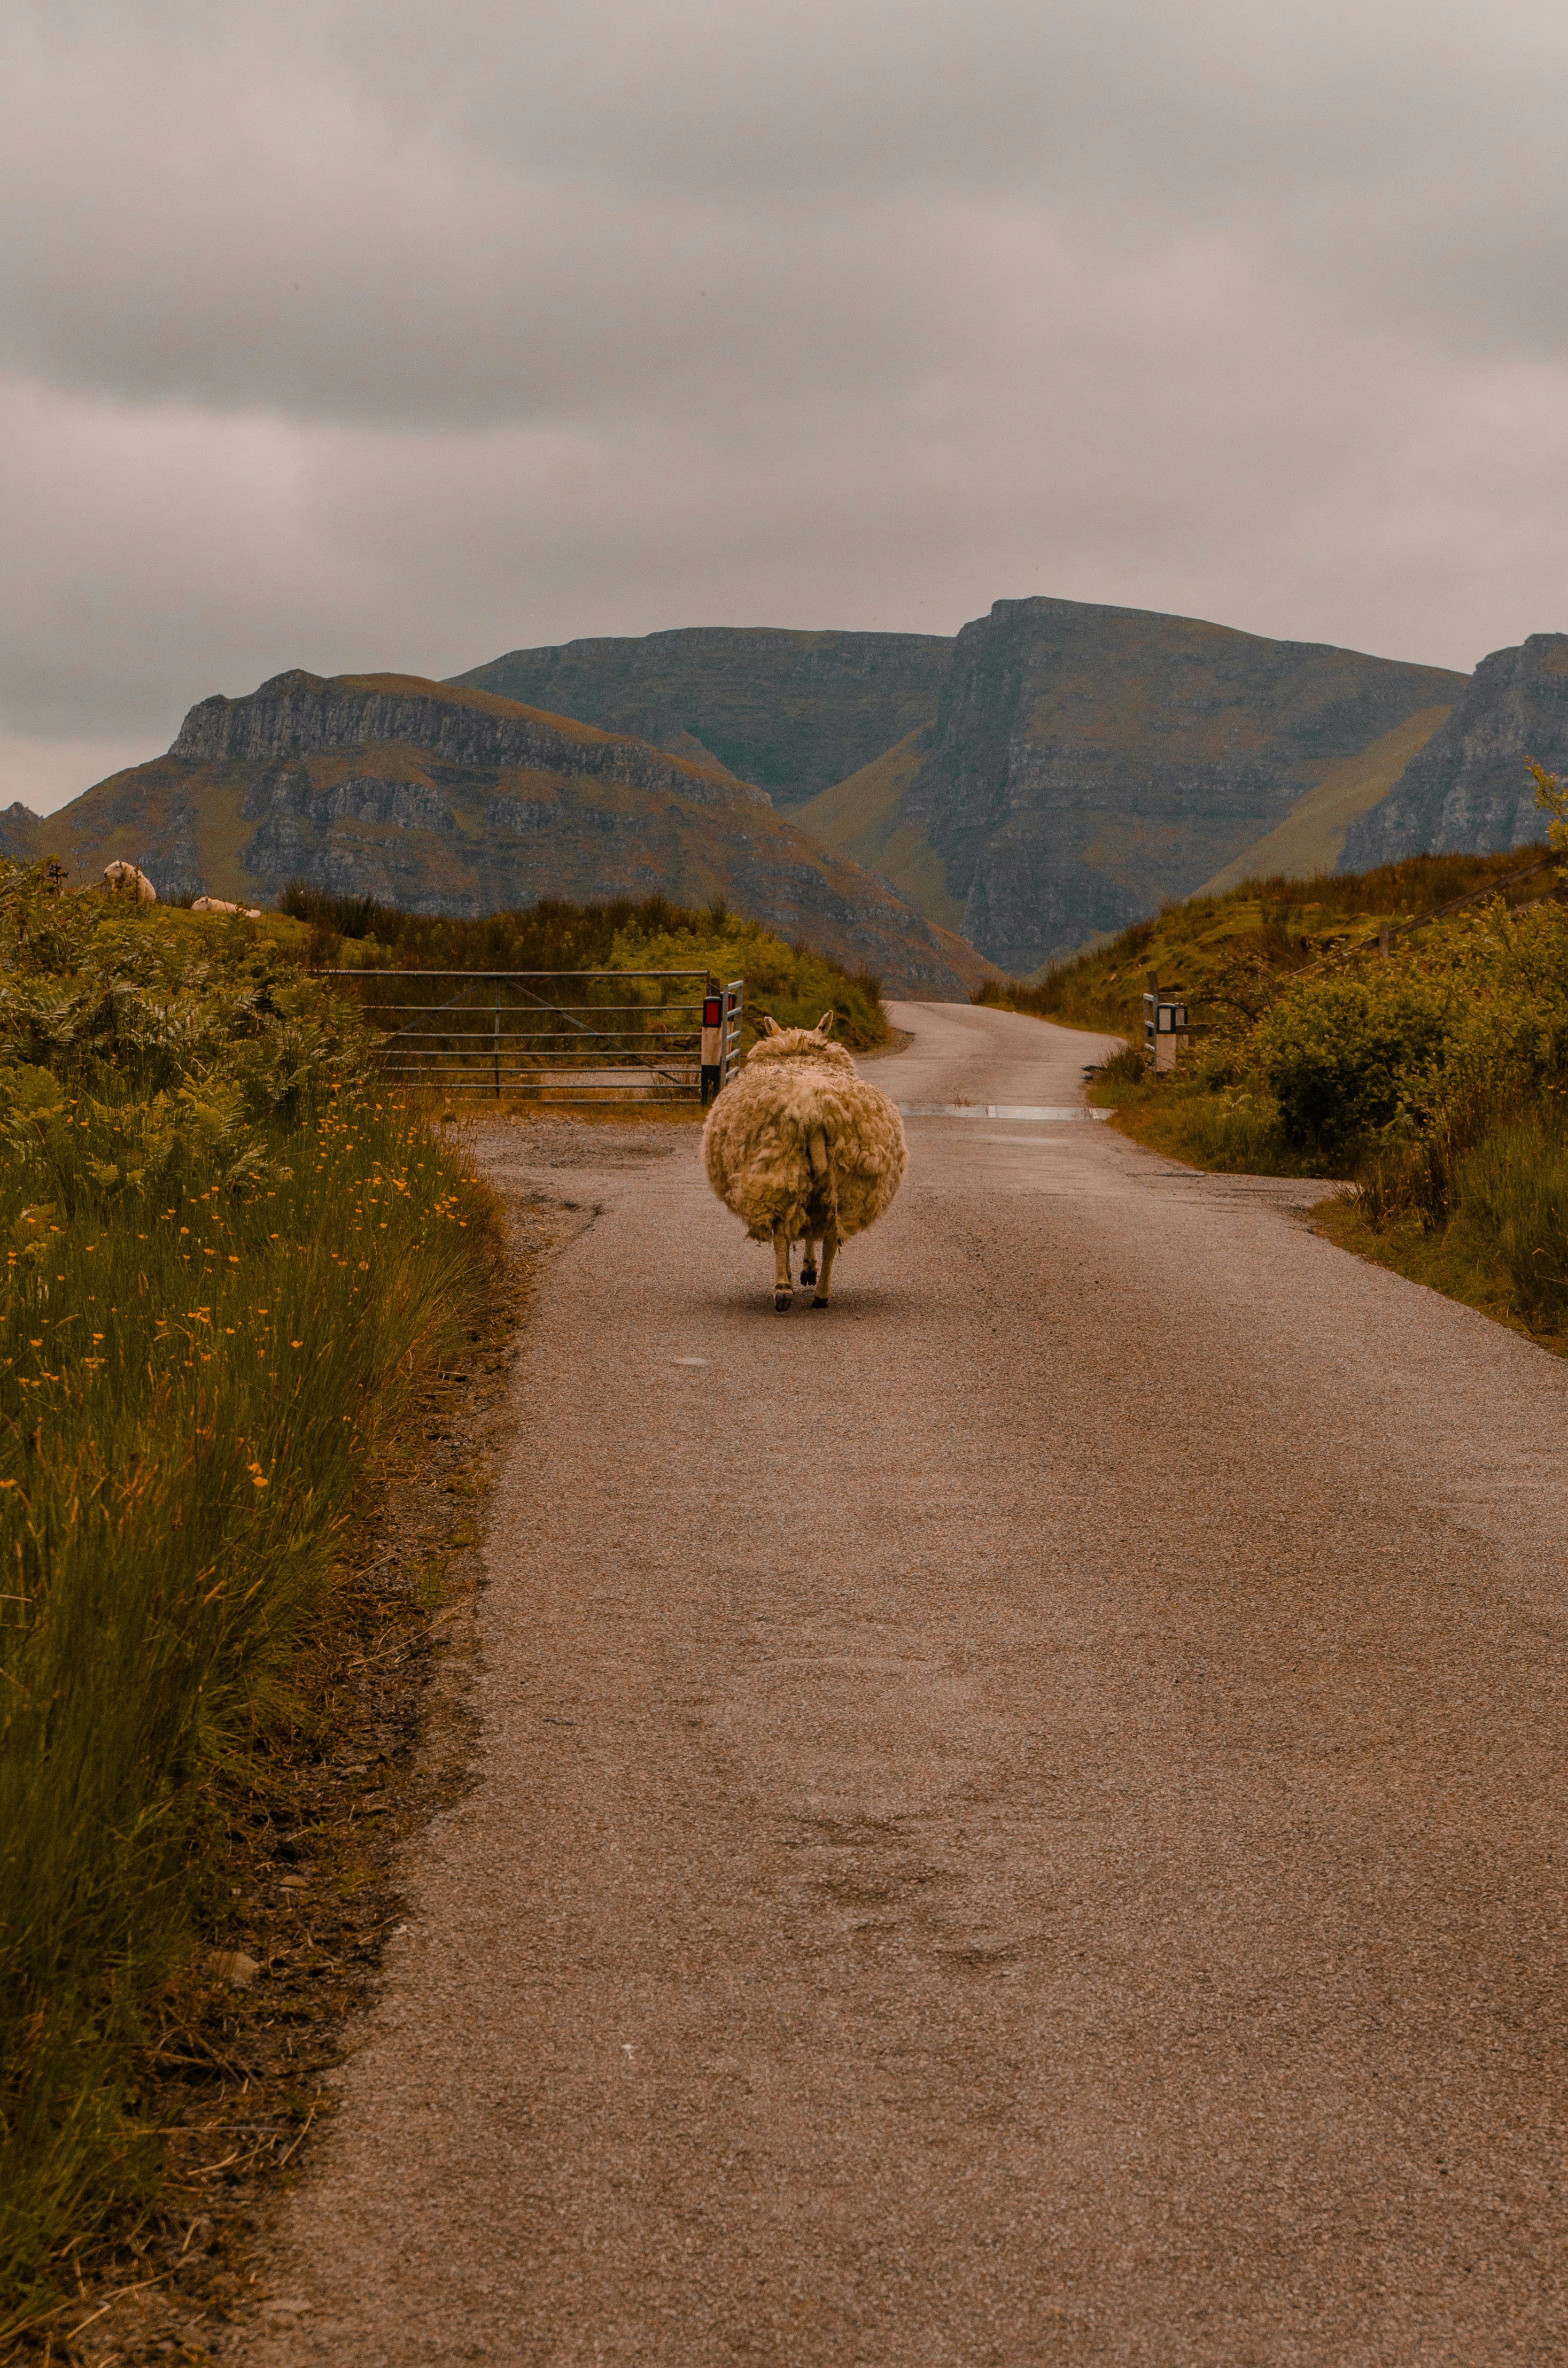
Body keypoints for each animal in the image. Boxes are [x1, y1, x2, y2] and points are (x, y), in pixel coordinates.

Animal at [703, 1011, 907, 1312]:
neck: (800, 1055)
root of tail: (816, 1111)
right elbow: (812, 1230)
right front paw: (809, 1269)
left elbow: (791, 1233)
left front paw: (794, 1273)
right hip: (845, 1184)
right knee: (831, 1237)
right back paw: (822, 1293)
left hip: (779, 1170)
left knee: (781, 1233)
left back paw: (783, 1289)